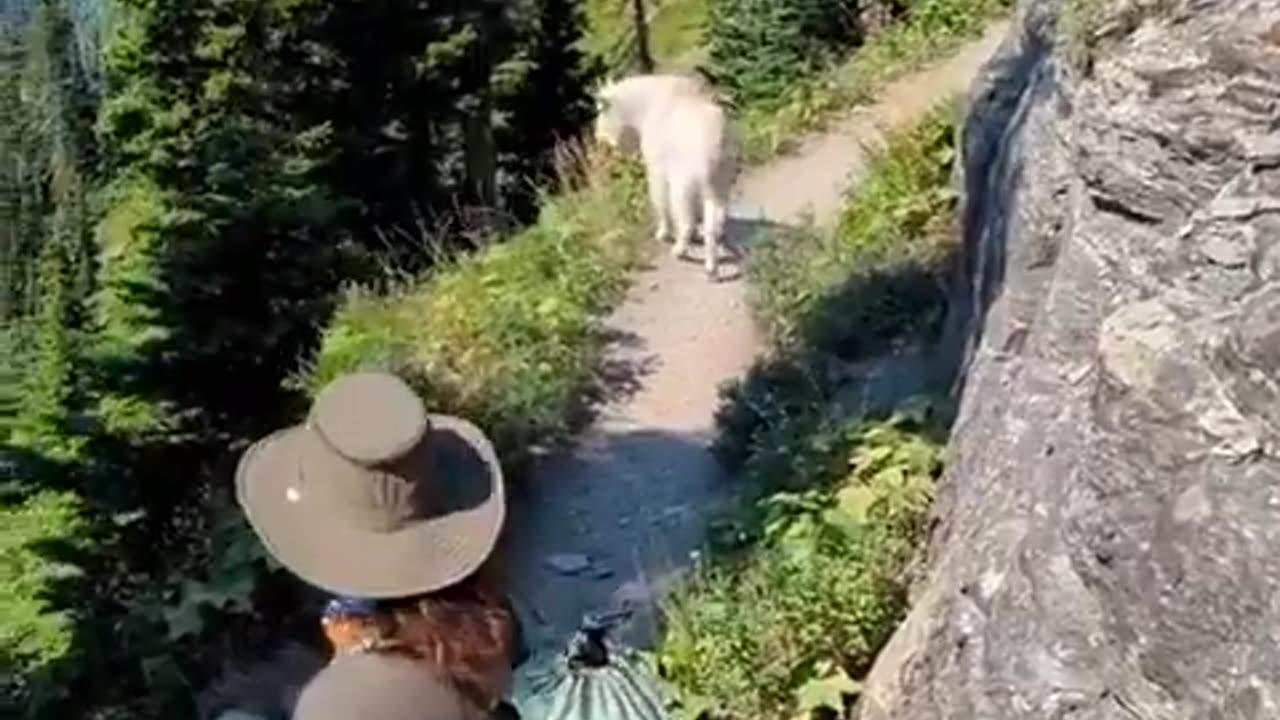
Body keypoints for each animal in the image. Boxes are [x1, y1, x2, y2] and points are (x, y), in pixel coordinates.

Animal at [591, 73, 742, 279]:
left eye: (601, 110)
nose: (599, 138)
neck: (645, 107)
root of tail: (715, 146)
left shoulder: (657, 170)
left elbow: (659, 200)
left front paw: (662, 233)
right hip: (720, 184)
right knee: (715, 222)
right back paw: (711, 267)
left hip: (684, 184)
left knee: (685, 220)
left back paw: (680, 250)